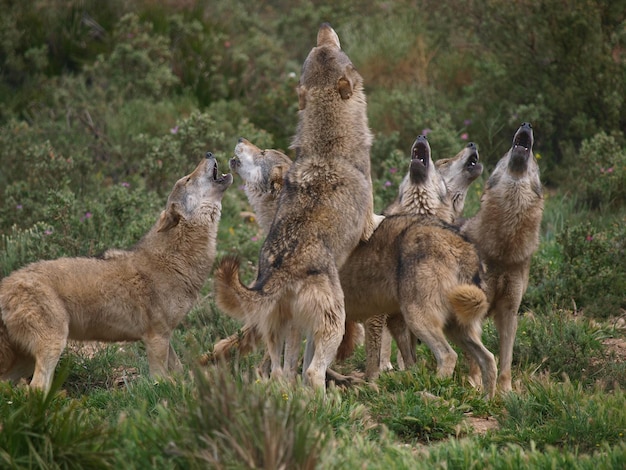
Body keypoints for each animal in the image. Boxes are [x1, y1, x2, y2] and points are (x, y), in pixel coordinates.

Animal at [0, 153, 233, 392]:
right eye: (187, 179)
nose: (208, 154)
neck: (175, 258)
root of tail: (5, 285)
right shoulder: (155, 337)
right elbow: (160, 380)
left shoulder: (166, 335)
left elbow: (179, 371)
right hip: (53, 346)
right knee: (36, 387)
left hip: (24, 360)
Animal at [212, 23, 380, 390]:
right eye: (334, 49)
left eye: (324, 49)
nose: (324, 26)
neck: (328, 142)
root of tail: (281, 269)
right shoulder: (367, 221)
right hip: (332, 320)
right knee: (313, 371)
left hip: (279, 327)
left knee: (280, 370)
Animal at [460, 122, 544, 392]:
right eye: (505, 154)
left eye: (535, 163)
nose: (526, 124)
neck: (503, 251)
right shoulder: (471, 307)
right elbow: (476, 357)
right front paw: (475, 384)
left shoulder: (509, 310)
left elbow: (506, 358)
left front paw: (506, 392)